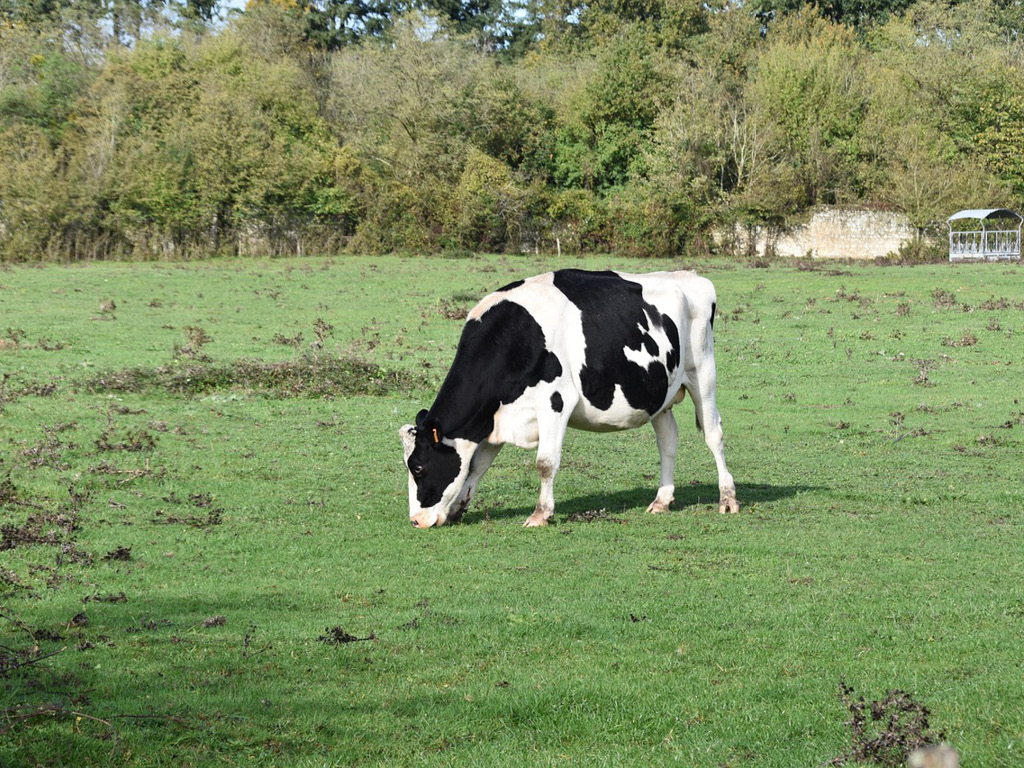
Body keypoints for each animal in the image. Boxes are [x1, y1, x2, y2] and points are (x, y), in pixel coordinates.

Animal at [397, 270, 737, 528]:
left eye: (418, 467)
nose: (416, 521)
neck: (513, 337)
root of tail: (692, 276)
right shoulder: (495, 416)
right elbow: (476, 465)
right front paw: (459, 508)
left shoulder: (555, 400)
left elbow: (545, 463)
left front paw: (540, 514)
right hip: (659, 392)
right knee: (668, 441)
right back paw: (662, 500)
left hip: (702, 374)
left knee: (713, 434)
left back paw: (727, 498)